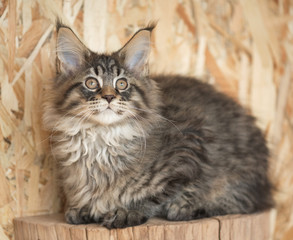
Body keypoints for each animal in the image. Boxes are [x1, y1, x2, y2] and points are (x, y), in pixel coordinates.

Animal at [42, 21, 272, 229]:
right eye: (91, 83)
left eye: (122, 84)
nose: (108, 97)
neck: (102, 138)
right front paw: (84, 207)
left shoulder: (191, 148)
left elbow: (158, 195)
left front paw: (128, 211)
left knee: (241, 201)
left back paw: (190, 208)